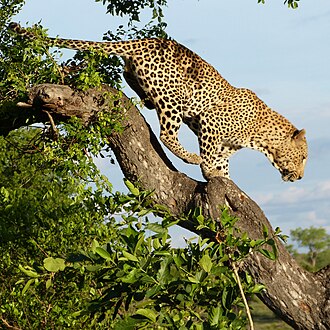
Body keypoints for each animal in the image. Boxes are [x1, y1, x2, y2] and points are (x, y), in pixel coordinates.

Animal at [9, 22, 308, 183]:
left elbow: (223, 164)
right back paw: (189, 156)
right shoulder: (210, 124)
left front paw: (223, 178)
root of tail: (146, 41)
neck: (261, 139)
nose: (301, 177)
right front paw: (207, 169)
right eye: (304, 157)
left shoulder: (226, 146)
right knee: (166, 134)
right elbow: (210, 155)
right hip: (174, 98)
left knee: (133, 81)